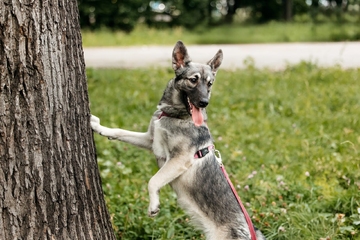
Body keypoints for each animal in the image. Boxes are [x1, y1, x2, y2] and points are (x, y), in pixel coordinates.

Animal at [90, 40, 264, 239]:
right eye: (193, 80)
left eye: (210, 84)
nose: (204, 102)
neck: (175, 115)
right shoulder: (150, 140)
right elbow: (119, 131)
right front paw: (99, 127)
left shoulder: (179, 159)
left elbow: (153, 181)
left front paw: (153, 205)